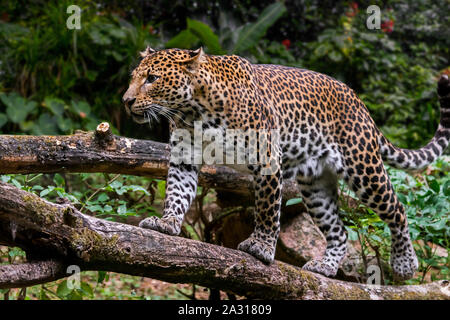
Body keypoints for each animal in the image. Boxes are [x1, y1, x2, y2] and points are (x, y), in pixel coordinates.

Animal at [122, 47, 450, 280]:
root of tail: (358, 102)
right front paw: (166, 223)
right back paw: (326, 267)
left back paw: (405, 263)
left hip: (363, 168)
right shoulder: (184, 159)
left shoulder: (266, 159)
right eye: (133, 77)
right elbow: (177, 194)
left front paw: (261, 247)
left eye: (152, 79)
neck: (193, 111)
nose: (126, 101)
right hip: (315, 186)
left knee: (398, 209)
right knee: (339, 231)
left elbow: (267, 210)